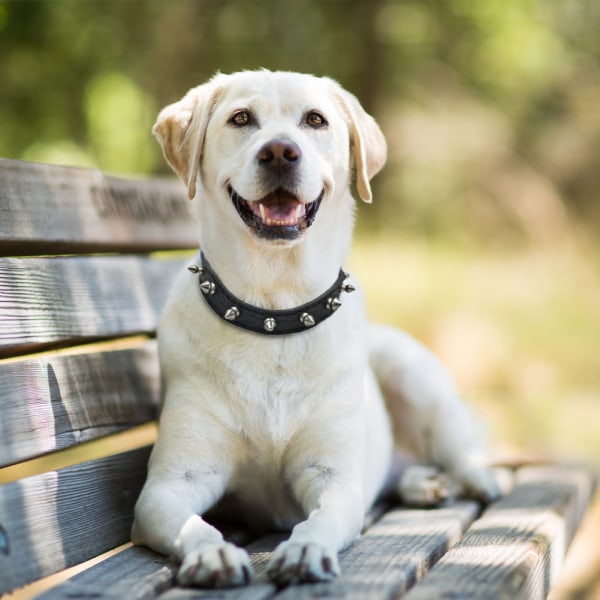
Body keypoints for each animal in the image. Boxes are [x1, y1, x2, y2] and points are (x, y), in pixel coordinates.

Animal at [132, 69, 502, 584]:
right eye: (240, 118)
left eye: (315, 120)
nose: (279, 152)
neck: (274, 313)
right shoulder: (169, 486)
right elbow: (193, 524)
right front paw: (213, 553)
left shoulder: (334, 478)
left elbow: (321, 518)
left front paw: (305, 549)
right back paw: (419, 483)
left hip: (411, 370)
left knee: (454, 441)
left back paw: (475, 478)